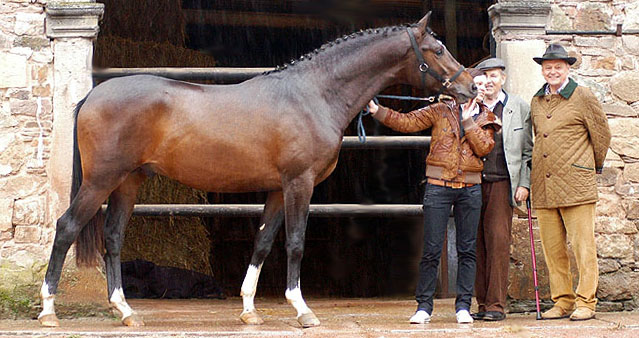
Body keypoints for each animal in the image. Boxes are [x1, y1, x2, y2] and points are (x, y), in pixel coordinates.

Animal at [38, 12, 476, 328]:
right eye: (437, 49)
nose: (470, 87)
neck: (313, 94)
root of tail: (93, 95)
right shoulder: (299, 184)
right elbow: (295, 243)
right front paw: (303, 310)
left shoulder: (278, 189)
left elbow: (263, 243)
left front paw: (250, 310)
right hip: (101, 180)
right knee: (67, 227)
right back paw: (49, 311)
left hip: (129, 181)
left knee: (112, 237)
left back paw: (126, 312)